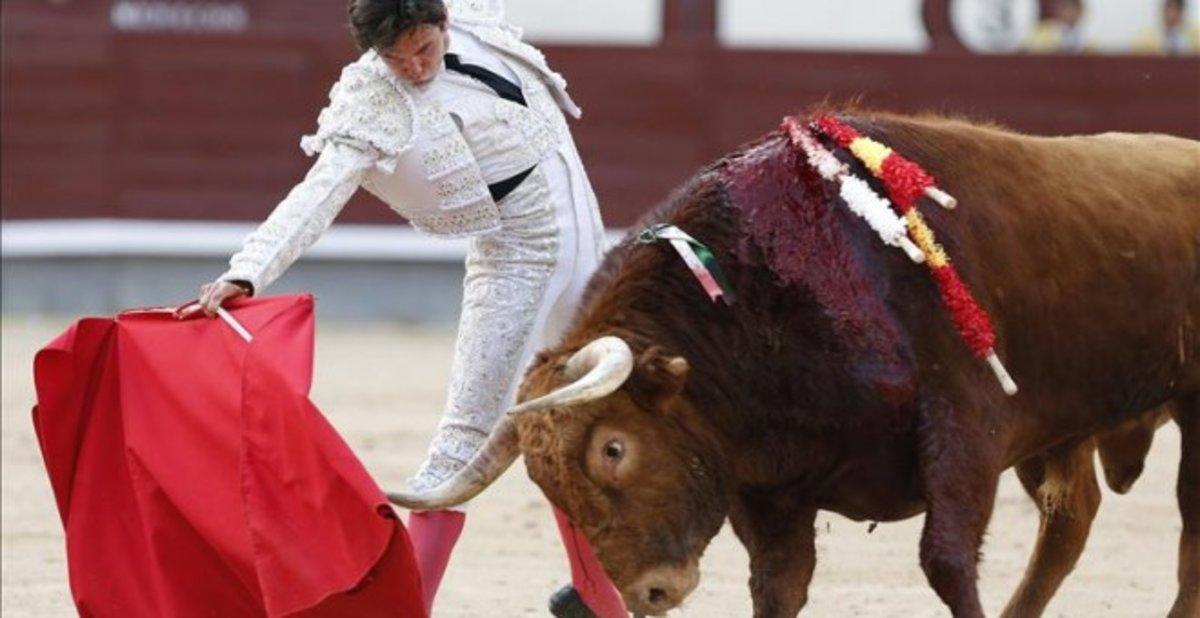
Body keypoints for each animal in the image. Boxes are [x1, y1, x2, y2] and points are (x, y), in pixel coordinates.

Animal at [391, 112, 1190, 618]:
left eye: (614, 449)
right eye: (544, 481)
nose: (646, 595)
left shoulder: (964, 428)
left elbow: (947, 561)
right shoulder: (768, 485)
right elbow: (777, 585)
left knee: (1185, 525)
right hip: (1065, 432)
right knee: (1071, 517)